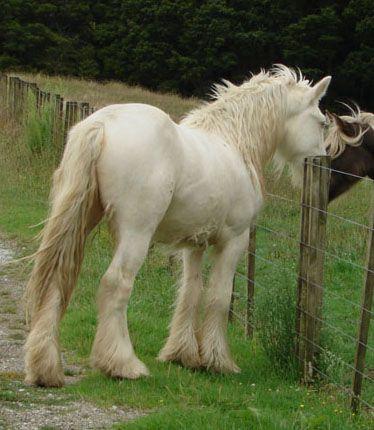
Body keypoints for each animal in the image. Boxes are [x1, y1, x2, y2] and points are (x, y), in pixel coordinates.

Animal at [24, 66, 330, 386]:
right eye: (322, 122)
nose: (322, 162)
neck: (234, 142)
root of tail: (102, 124)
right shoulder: (234, 241)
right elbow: (219, 297)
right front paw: (218, 360)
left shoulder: (195, 245)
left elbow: (190, 292)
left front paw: (183, 355)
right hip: (136, 234)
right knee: (116, 284)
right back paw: (122, 364)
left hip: (78, 222)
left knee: (56, 278)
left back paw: (45, 368)